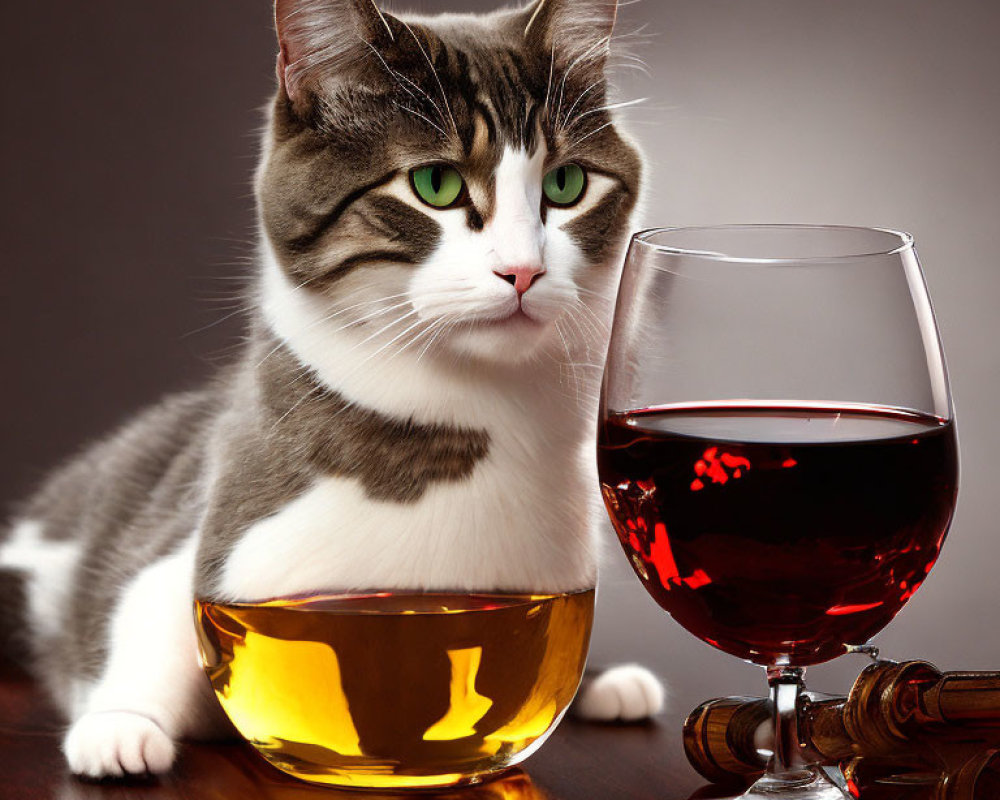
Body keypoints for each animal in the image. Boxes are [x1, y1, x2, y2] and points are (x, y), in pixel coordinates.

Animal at [3, 0, 668, 780]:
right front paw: (118, 725)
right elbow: (148, 608)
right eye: (435, 185)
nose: (524, 270)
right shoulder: (215, 527)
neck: (477, 418)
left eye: (566, 185)